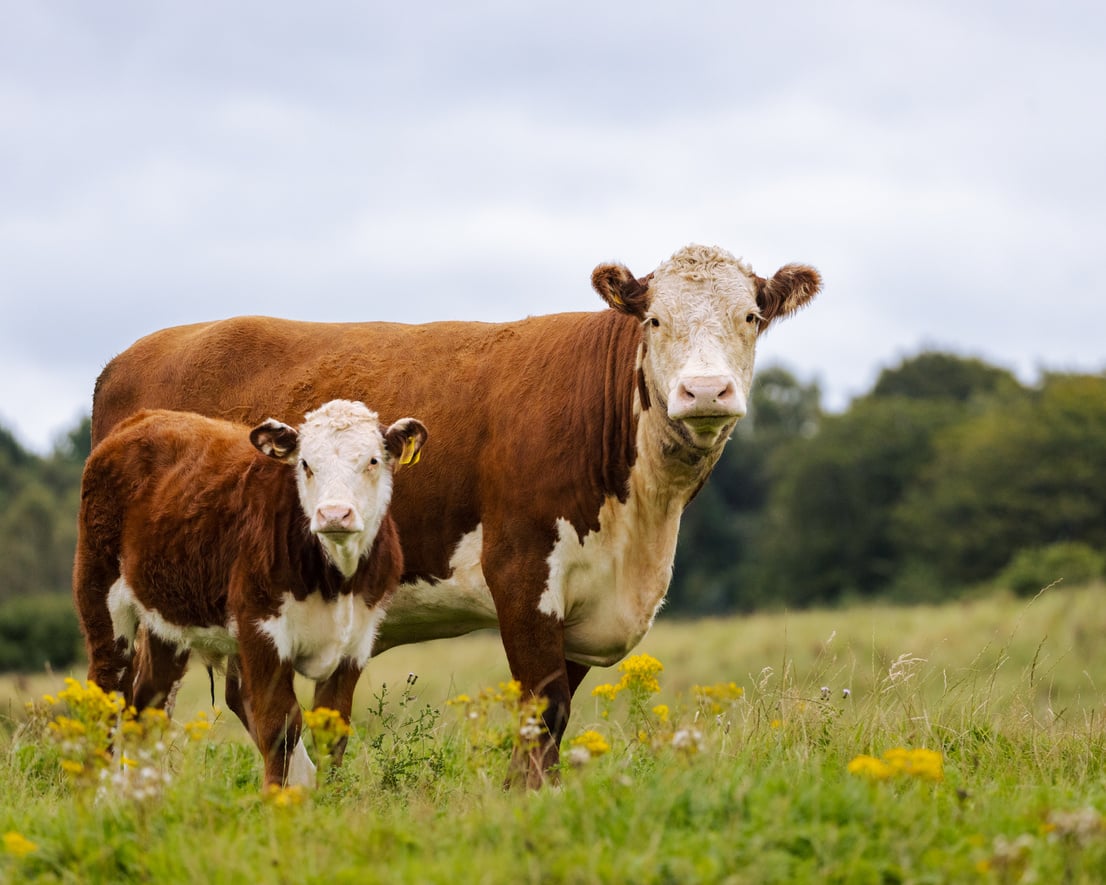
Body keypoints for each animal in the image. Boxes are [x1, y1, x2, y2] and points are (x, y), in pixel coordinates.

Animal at [73, 399, 428, 788]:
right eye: (306, 464)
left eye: (372, 461)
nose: (334, 514)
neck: (336, 580)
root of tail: (144, 418)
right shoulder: (260, 630)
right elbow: (279, 726)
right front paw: (277, 797)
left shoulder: (356, 641)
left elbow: (332, 730)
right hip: (101, 595)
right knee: (105, 692)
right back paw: (95, 791)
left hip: (166, 619)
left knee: (147, 705)